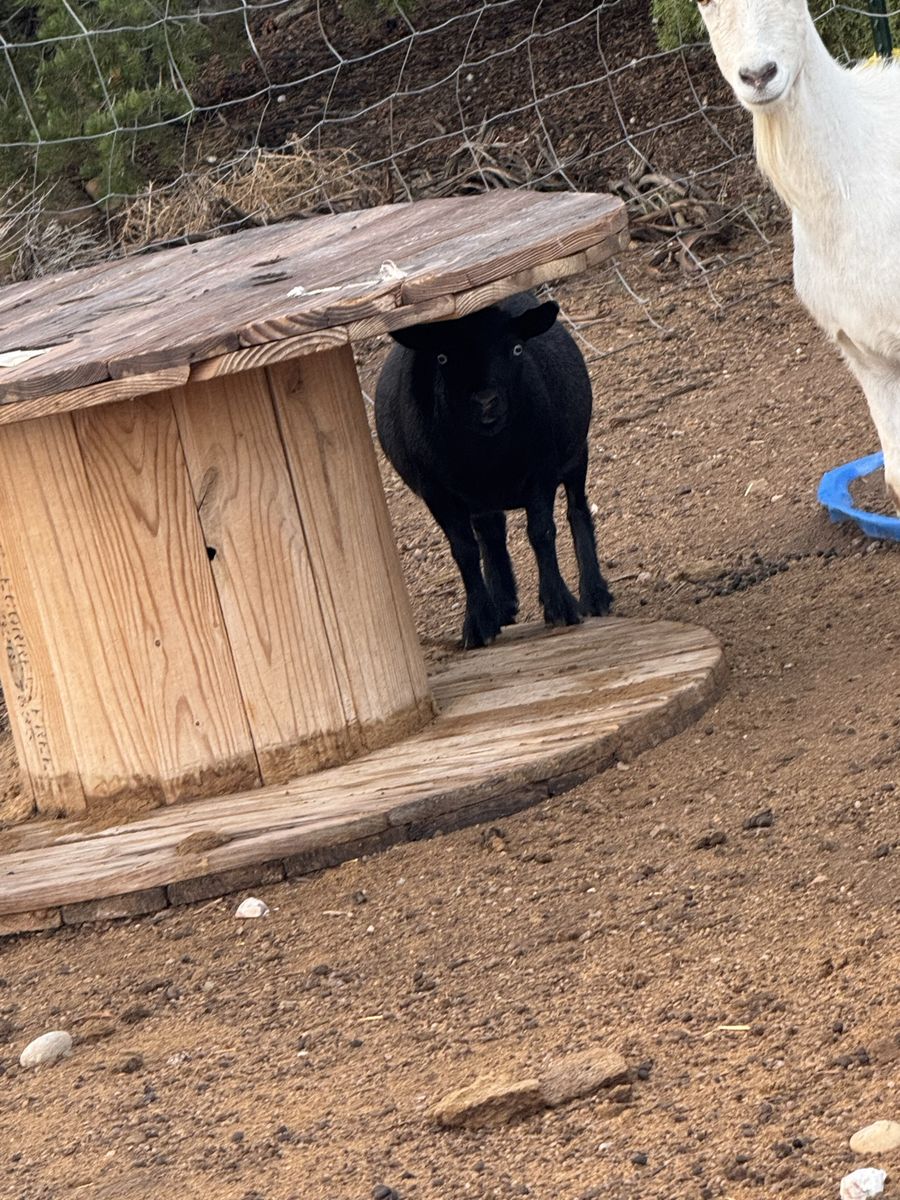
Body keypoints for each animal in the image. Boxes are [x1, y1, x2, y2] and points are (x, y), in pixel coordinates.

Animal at [374, 292, 613, 649]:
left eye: (516, 349)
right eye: (442, 357)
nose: (486, 400)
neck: (488, 454)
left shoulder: (541, 470)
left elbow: (541, 532)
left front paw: (560, 605)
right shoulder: (436, 492)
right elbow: (464, 550)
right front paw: (478, 623)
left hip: (575, 453)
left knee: (577, 511)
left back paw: (595, 594)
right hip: (476, 496)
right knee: (491, 530)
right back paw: (501, 603)